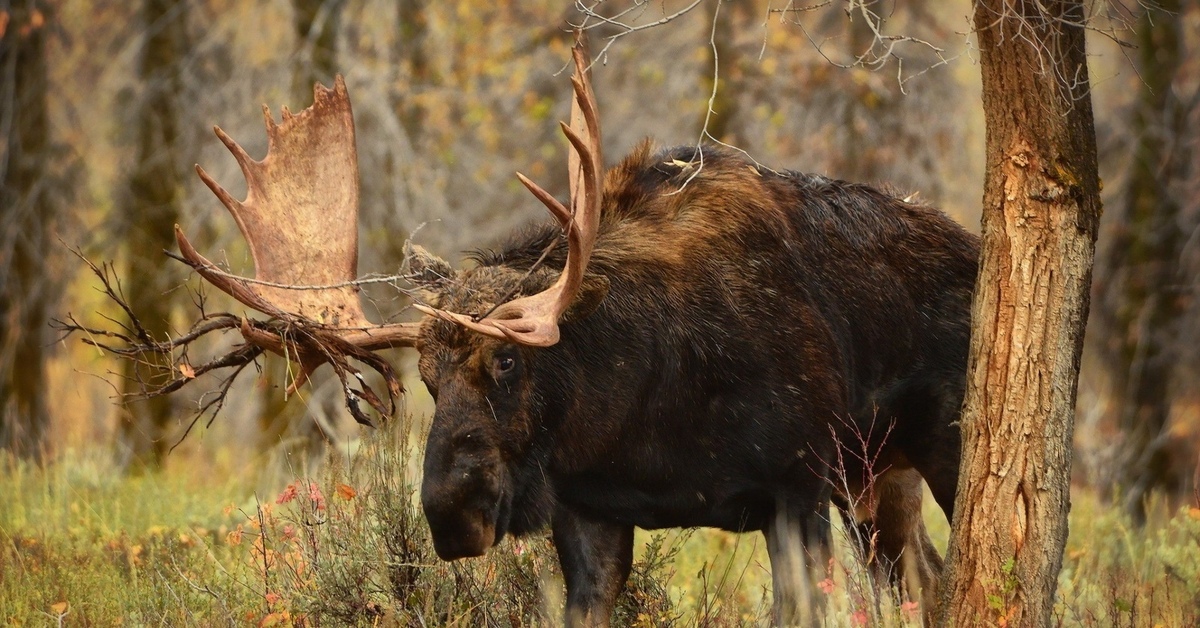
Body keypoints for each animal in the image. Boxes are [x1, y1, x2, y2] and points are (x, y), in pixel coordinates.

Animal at [166, 38, 974, 624]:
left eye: (508, 362)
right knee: (928, 579)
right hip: (878, 476)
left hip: (936, 448)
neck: (644, 414)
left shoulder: (795, 485)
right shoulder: (589, 512)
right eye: (427, 378)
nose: (452, 514)